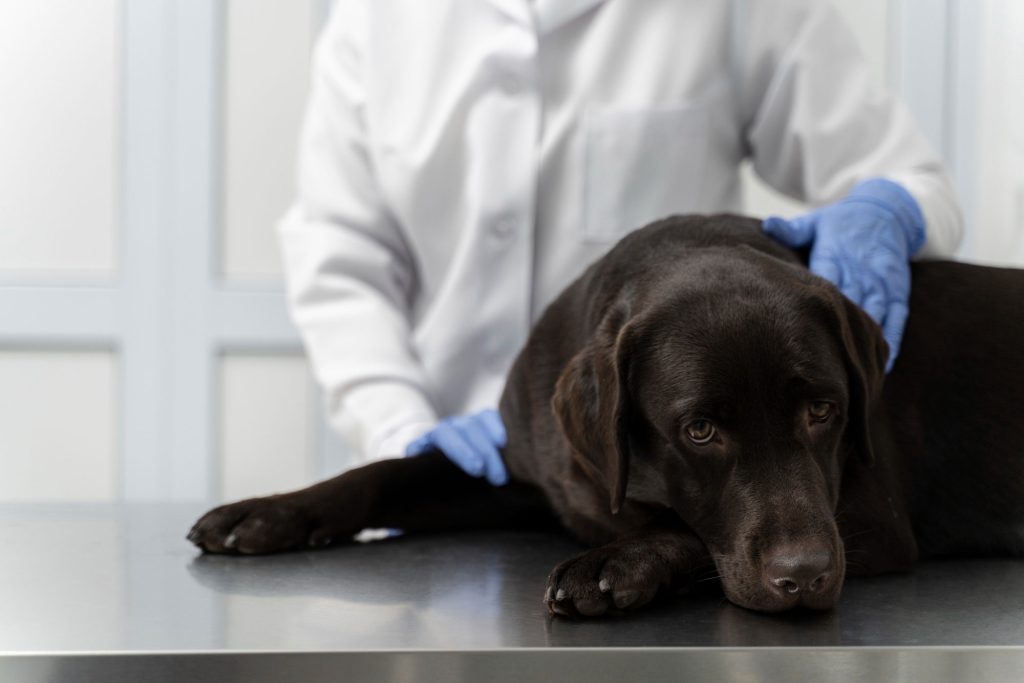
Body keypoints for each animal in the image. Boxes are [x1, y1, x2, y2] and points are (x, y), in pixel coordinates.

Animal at [190, 216, 1024, 618]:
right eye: (700, 430)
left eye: (824, 409)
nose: (806, 575)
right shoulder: (528, 477)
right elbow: (386, 472)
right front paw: (267, 512)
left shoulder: (870, 518)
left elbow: (685, 529)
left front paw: (613, 566)